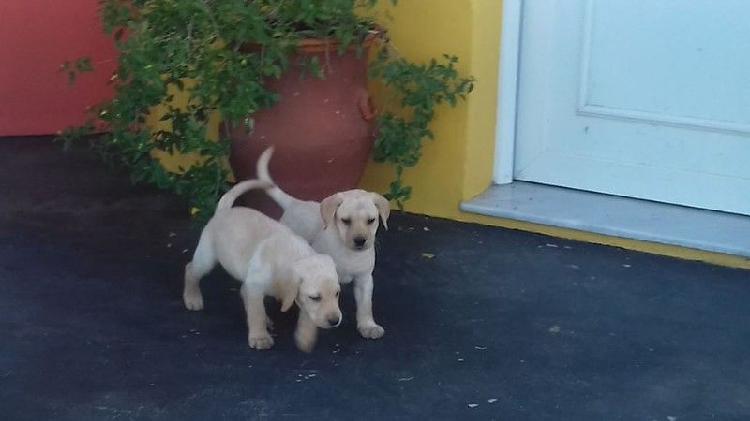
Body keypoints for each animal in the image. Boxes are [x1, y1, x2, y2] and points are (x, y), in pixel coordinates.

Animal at [185, 178, 344, 352]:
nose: (335, 321)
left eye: (337, 294)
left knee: (243, 290)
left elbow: (305, 314)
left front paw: (305, 336)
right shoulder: (256, 285)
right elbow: (257, 313)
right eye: (315, 298)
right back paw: (192, 298)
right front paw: (259, 338)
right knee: (191, 270)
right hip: (207, 258)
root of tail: (223, 210)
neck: (290, 255)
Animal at [256, 147, 390, 338]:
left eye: (371, 220)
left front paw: (368, 325)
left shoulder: (364, 279)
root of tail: (296, 203)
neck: (347, 251)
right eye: (346, 221)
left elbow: (365, 305)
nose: (360, 241)